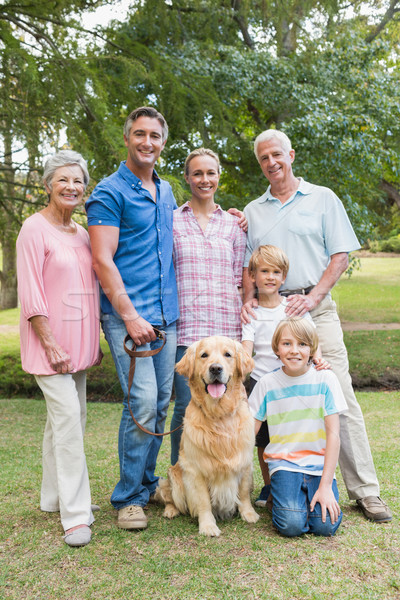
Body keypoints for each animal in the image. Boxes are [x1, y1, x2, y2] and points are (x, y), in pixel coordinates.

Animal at [153, 336, 260, 536]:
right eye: (204, 355)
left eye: (228, 354)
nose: (215, 368)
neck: (219, 414)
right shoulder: (195, 470)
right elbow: (203, 502)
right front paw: (208, 525)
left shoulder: (244, 462)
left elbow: (243, 493)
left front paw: (249, 514)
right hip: (174, 477)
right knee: (169, 497)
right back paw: (170, 510)